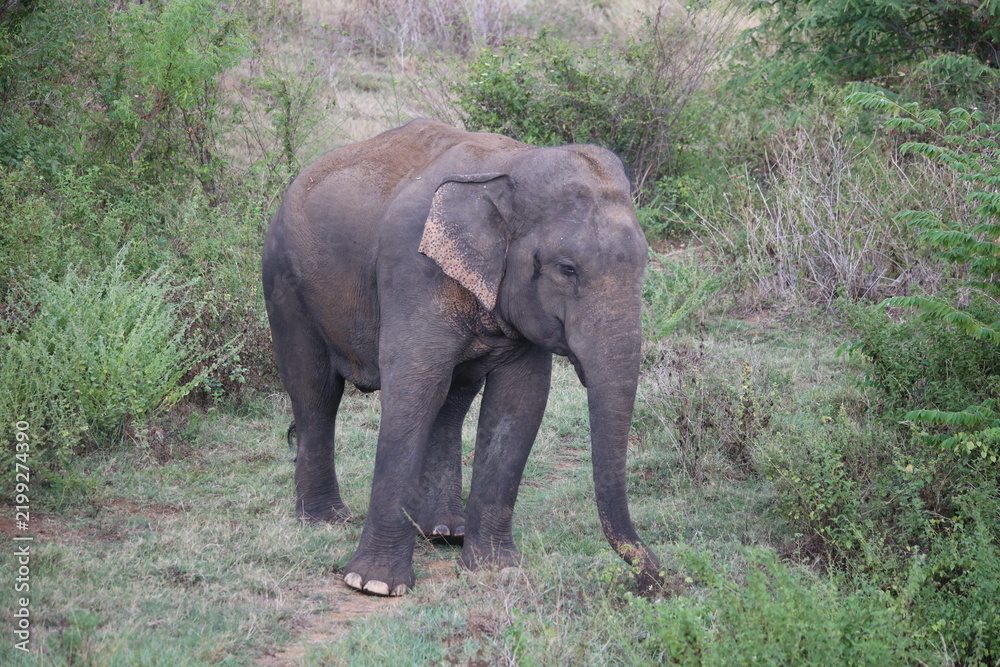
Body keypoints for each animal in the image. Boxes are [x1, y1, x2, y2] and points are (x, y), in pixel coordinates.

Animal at [262, 119, 661, 596]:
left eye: (643, 263)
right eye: (567, 268)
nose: (653, 581)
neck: (510, 169)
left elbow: (519, 403)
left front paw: (495, 570)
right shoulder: (414, 270)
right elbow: (412, 389)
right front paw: (372, 585)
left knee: (451, 400)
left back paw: (443, 532)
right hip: (285, 282)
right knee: (316, 393)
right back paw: (326, 520)